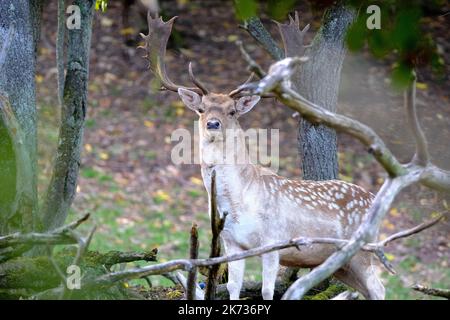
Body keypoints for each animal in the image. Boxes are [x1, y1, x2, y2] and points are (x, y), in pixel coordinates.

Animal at [142, 13, 386, 300]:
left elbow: (268, 290)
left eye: (232, 111)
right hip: (341, 264)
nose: (213, 123)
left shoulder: (274, 240)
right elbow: (233, 286)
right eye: (201, 109)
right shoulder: (232, 243)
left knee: (379, 288)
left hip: (362, 251)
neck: (240, 203)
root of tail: (374, 198)